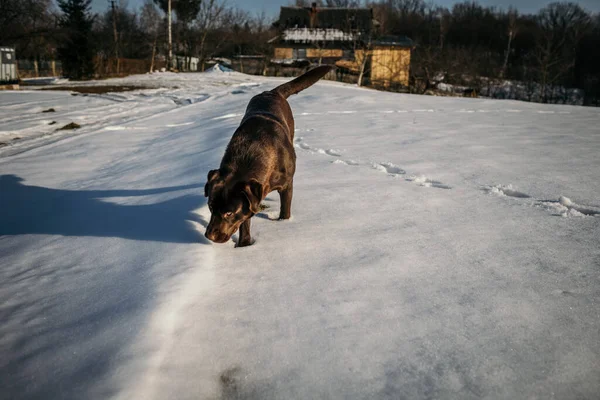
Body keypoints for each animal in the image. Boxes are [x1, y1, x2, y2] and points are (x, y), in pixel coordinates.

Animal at [204, 65, 330, 247]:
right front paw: (244, 245)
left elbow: (285, 209)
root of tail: (271, 92)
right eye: (210, 207)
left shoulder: (286, 184)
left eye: (229, 213)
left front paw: (284, 223)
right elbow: (245, 221)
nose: (209, 236)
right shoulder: (248, 201)